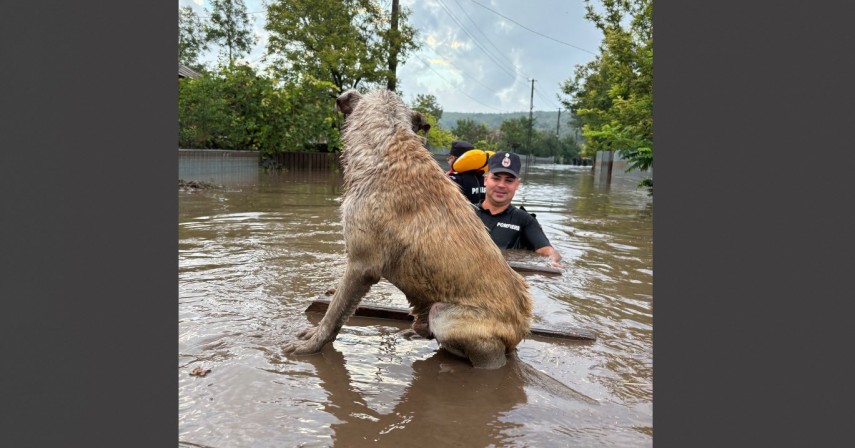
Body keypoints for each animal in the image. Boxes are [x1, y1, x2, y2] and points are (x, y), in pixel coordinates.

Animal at [284, 88, 532, 368]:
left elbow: (333, 313)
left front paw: (311, 345)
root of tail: (521, 329)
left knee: (488, 355)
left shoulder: (361, 265)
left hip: (446, 317)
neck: (388, 147)